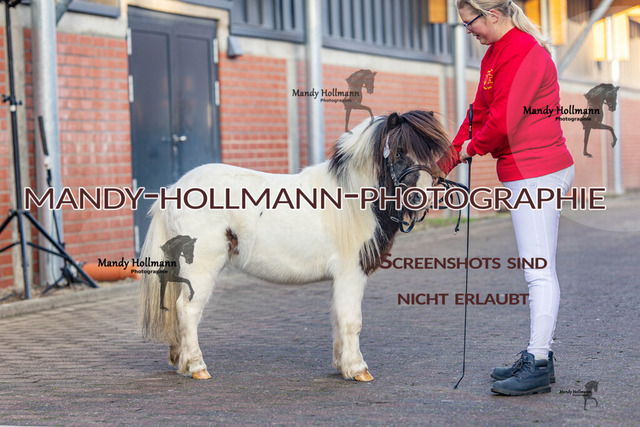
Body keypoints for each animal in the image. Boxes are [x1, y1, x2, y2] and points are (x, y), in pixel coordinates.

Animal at [139, 111, 451, 381]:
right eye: (398, 152)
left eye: (432, 154)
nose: (421, 198)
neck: (352, 201)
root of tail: (173, 190)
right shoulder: (351, 272)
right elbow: (351, 320)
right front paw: (357, 369)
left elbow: (338, 317)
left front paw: (341, 364)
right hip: (201, 267)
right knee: (187, 310)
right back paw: (196, 367)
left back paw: (181, 361)